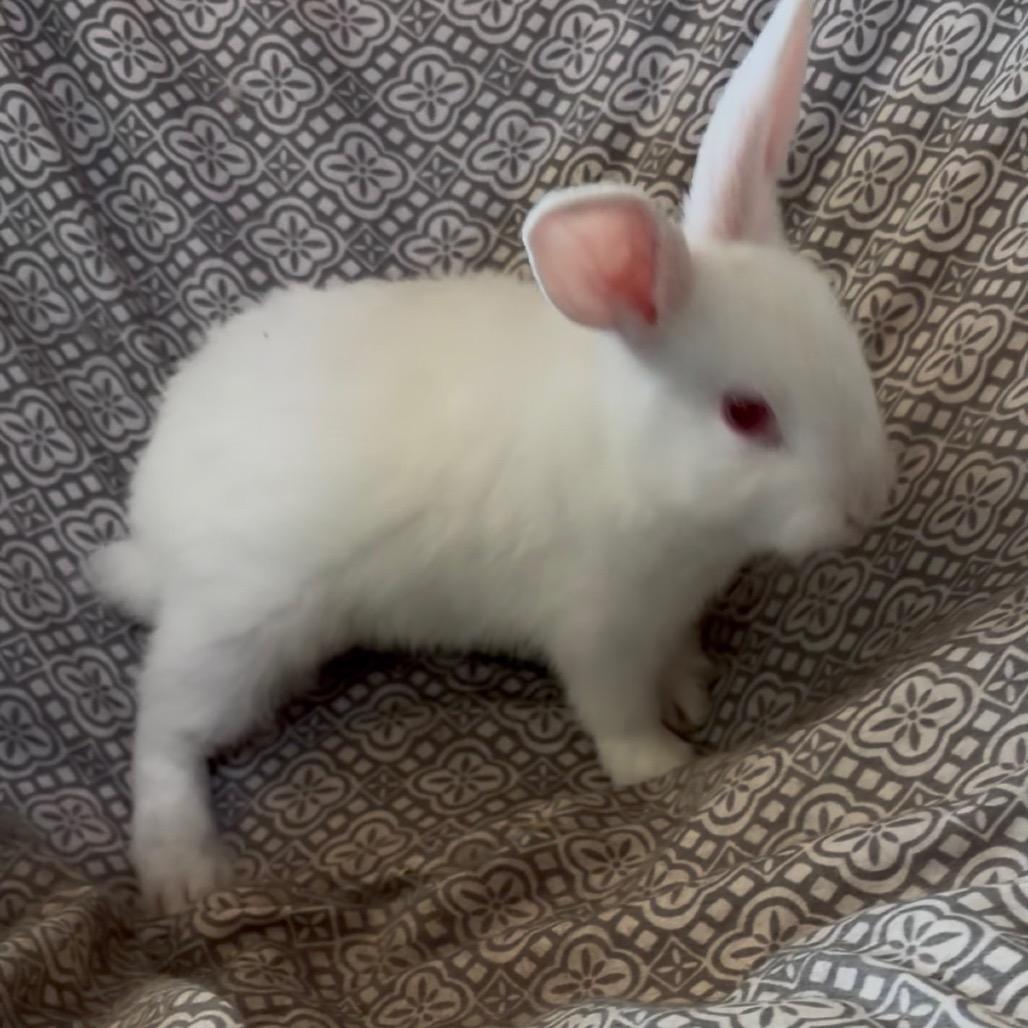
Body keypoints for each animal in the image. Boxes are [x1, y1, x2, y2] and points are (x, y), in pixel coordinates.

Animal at [88, 0, 892, 914]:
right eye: (746, 414)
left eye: (845, 344)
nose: (868, 503)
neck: (635, 458)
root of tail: (154, 519)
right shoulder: (596, 627)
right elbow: (614, 709)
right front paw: (658, 763)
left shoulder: (668, 612)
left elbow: (675, 657)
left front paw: (692, 689)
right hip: (238, 628)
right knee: (163, 727)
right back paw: (184, 871)